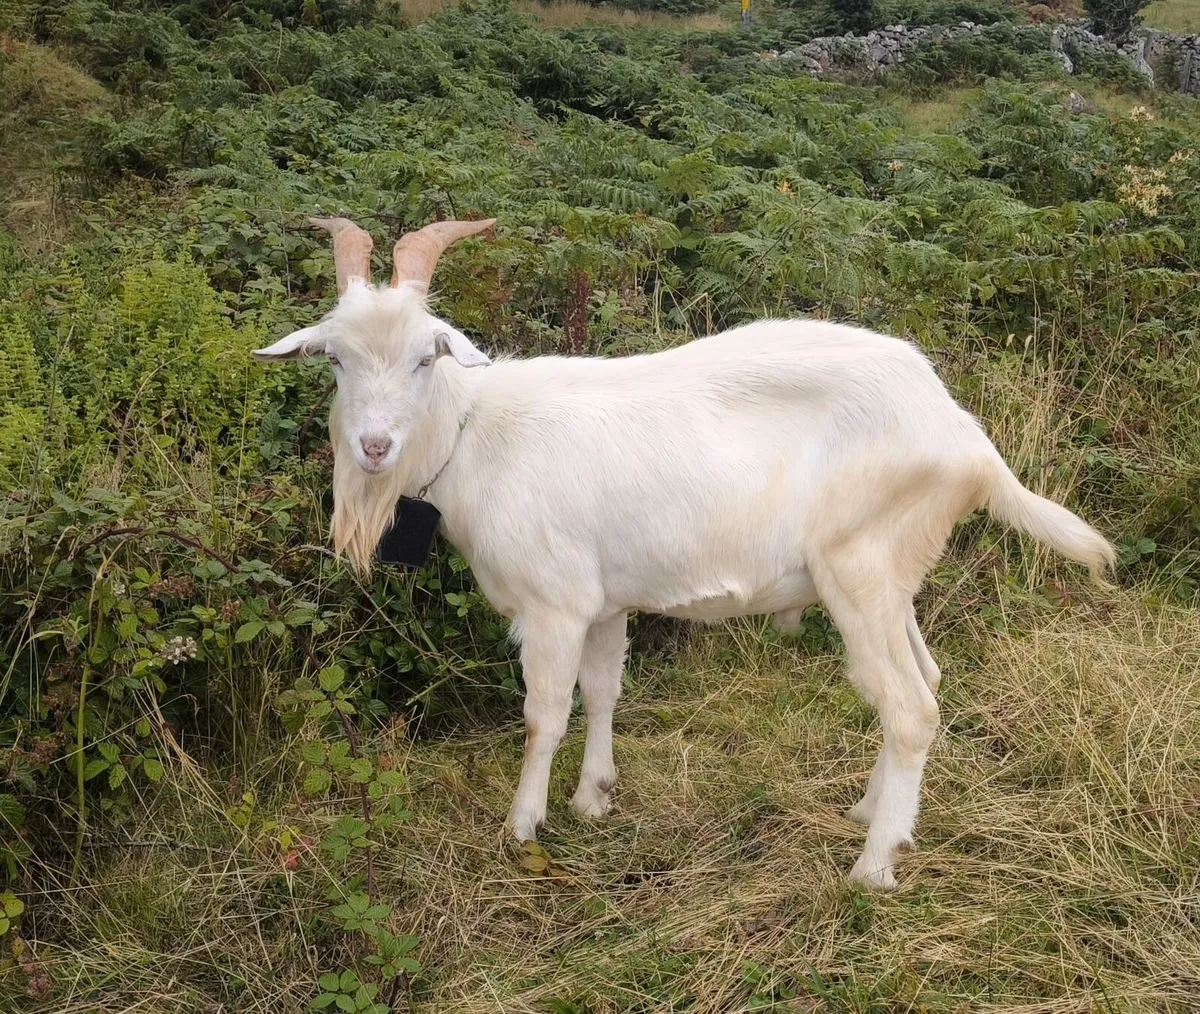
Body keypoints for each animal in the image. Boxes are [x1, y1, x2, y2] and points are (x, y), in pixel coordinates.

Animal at [253, 217, 1114, 889]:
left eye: (425, 357)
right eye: (333, 359)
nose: (373, 446)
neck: (475, 433)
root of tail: (967, 438)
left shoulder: (553, 602)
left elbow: (544, 715)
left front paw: (524, 823)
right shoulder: (602, 600)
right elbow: (602, 692)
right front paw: (594, 796)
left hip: (860, 568)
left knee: (909, 707)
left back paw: (872, 867)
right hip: (892, 574)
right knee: (924, 680)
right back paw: (873, 813)